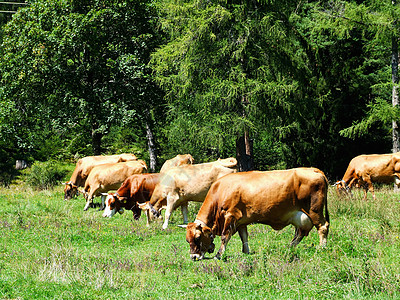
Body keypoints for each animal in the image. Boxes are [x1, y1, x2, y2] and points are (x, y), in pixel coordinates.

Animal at [186, 169, 330, 260]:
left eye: (198, 237)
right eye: (187, 240)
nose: (193, 257)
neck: (220, 191)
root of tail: (313, 170)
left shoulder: (231, 216)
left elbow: (224, 237)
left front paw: (218, 255)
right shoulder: (240, 221)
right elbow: (244, 236)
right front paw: (246, 252)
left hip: (314, 211)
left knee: (323, 227)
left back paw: (322, 247)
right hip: (301, 216)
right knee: (300, 233)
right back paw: (289, 247)